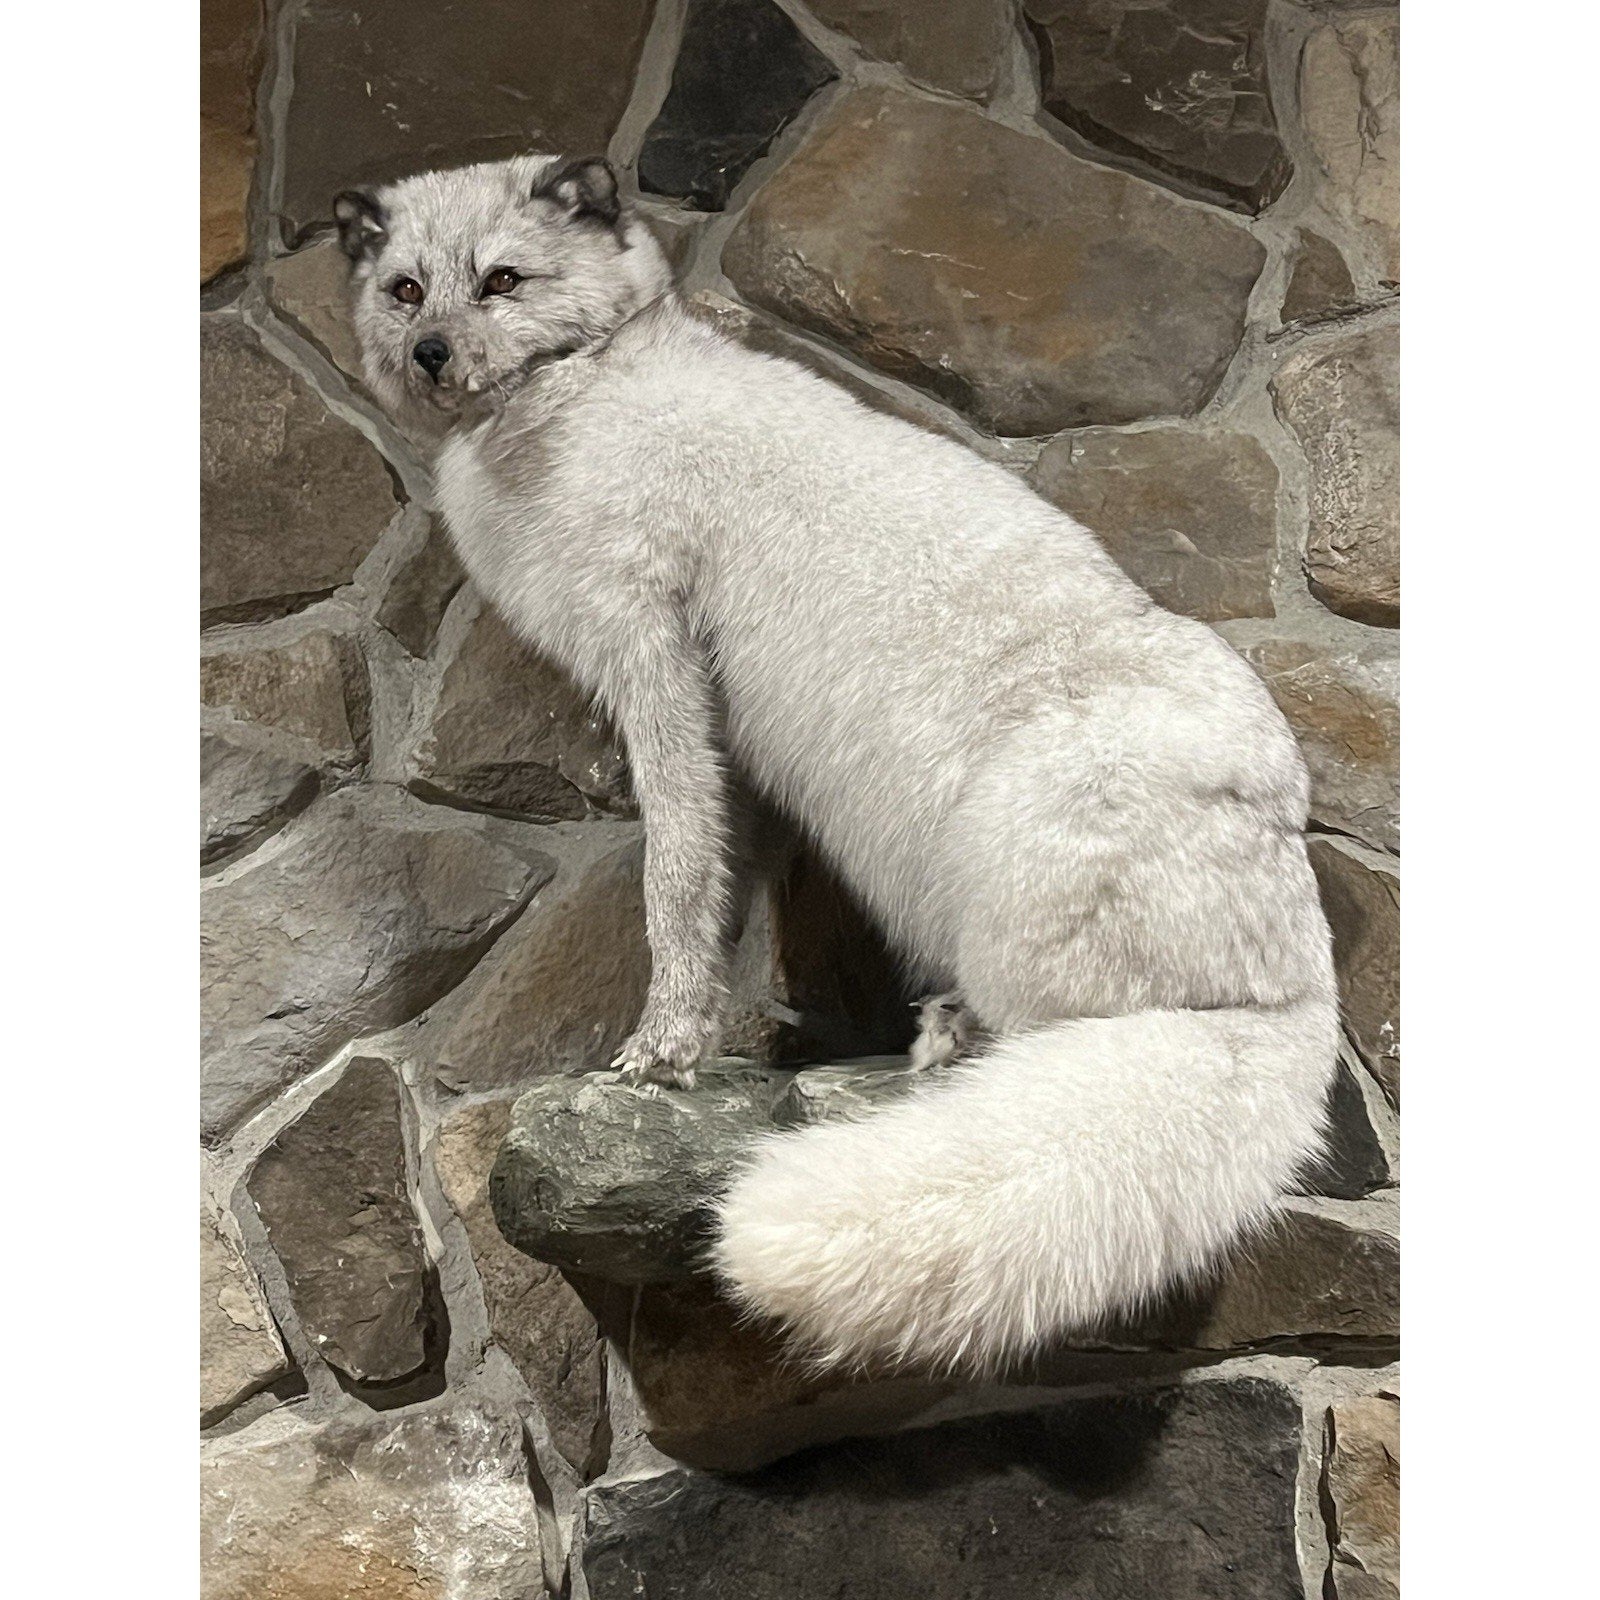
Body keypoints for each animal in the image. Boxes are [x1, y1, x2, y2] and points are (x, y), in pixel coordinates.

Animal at [335, 151, 1339, 1375]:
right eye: (404, 290)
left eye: (501, 281)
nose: (430, 353)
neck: (584, 390)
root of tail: (1292, 988)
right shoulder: (724, 727)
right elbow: (724, 874)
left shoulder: (649, 648)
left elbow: (674, 873)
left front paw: (661, 1047)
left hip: (1011, 872)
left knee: (1047, 1029)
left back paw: (950, 1032)